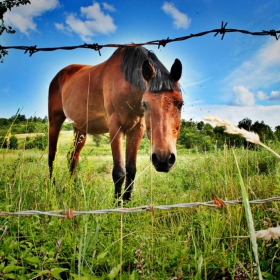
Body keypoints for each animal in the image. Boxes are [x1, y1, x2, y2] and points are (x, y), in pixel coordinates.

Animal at [47, 46, 184, 200]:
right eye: (145, 104)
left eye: (180, 104)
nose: (163, 159)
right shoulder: (115, 128)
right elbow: (119, 172)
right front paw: (116, 204)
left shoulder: (136, 130)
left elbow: (131, 170)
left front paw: (126, 201)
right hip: (54, 121)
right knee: (52, 156)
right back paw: (52, 189)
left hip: (80, 129)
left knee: (72, 157)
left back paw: (74, 190)